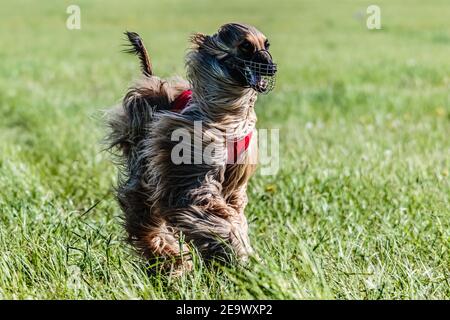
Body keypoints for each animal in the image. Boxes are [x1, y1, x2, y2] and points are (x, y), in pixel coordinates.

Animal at [107, 22, 276, 276]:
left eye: (267, 45)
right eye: (245, 46)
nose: (271, 67)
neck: (227, 113)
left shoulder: (234, 183)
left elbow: (233, 212)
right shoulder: (191, 166)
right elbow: (202, 208)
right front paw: (237, 256)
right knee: (142, 211)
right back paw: (168, 258)